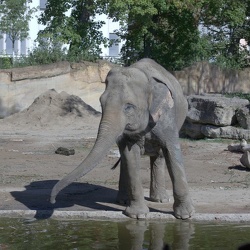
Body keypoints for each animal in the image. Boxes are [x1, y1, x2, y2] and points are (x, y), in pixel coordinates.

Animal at [50, 58, 195, 219]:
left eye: (128, 107)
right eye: (101, 103)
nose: (53, 201)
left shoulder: (167, 117)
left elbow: (172, 152)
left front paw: (185, 216)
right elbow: (130, 156)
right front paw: (138, 216)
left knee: (160, 156)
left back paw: (160, 200)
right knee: (126, 159)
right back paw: (123, 201)